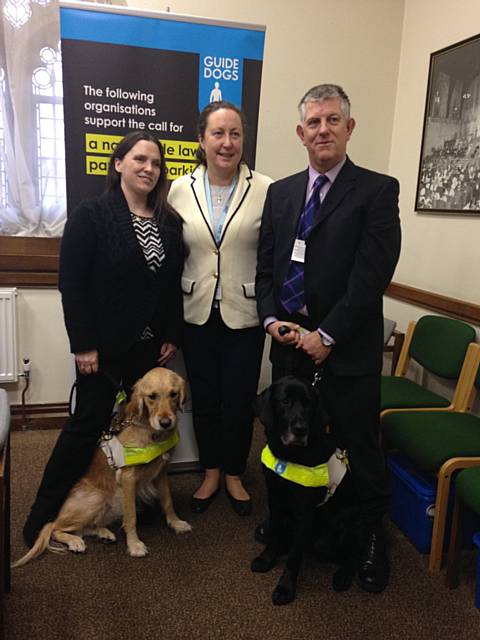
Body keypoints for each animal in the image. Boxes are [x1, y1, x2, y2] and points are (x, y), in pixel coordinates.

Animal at [13, 364, 189, 564]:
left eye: (173, 394)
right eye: (152, 396)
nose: (166, 422)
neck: (150, 431)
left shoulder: (161, 472)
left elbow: (168, 501)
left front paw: (176, 523)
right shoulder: (128, 478)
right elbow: (131, 517)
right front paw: (134, 545)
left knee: (84, 527)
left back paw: (104, 533)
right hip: (96, 498)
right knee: (54, 526)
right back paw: (74, 541)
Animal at [253, 376, 358, 604]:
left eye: (309, 404)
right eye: (285, 402)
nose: (300, 429)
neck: (290, 455)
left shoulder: (304, 512)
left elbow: (294, 557)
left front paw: (285, 587)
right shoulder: (274, 499)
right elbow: (274, 533)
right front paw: (267, 558)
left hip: (344, 524)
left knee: (352, 552)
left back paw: (344, 575)